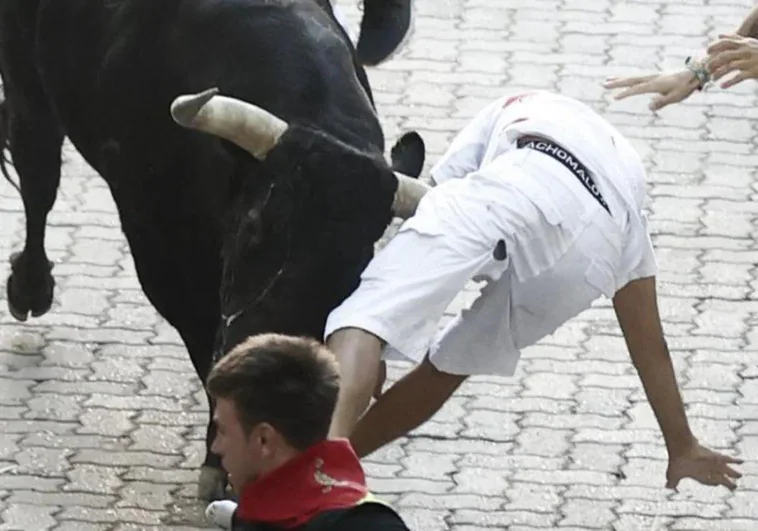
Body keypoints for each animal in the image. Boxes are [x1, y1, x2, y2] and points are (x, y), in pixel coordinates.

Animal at [0, 0, 428, 500]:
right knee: (37, 166)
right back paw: (30, 287)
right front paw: (219, 461)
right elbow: (206, 341)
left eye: (358, 258)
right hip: (25, 72)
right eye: (254, 224)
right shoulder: (158, 243)